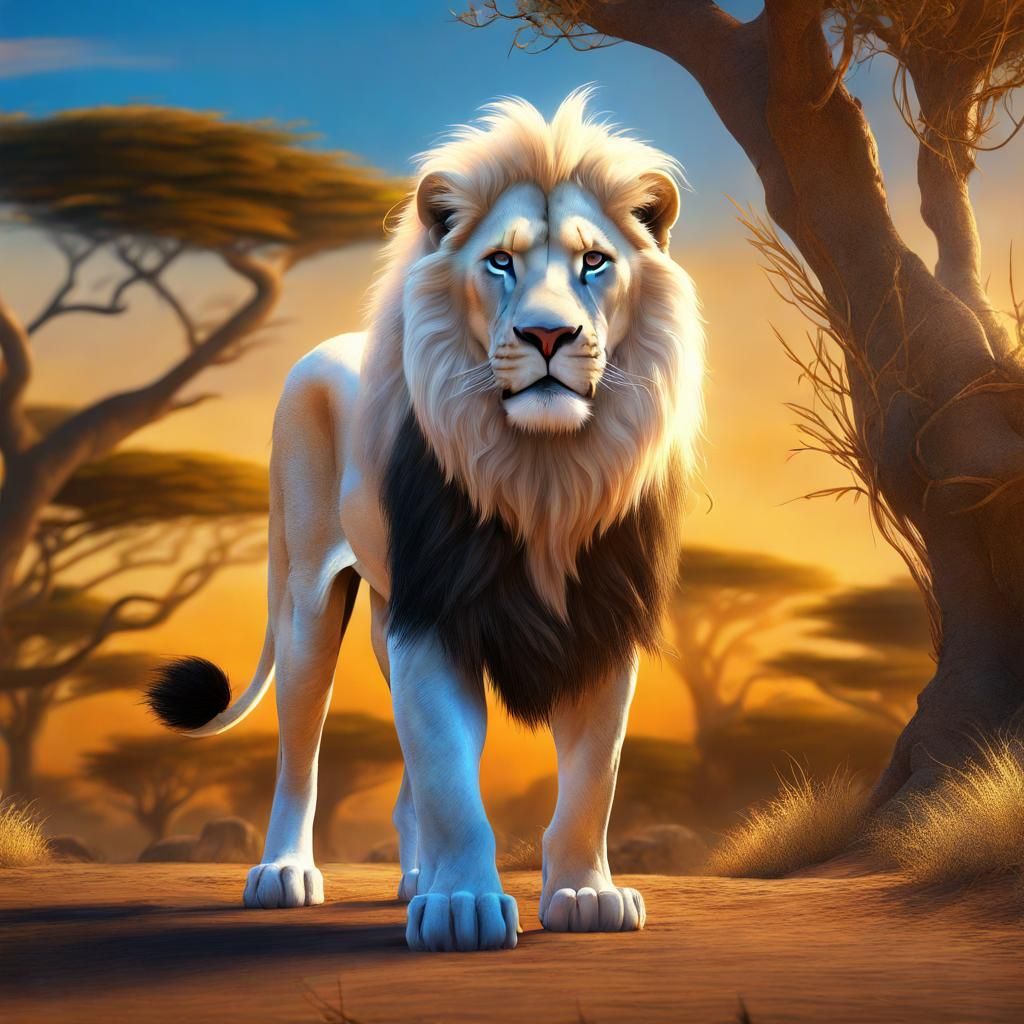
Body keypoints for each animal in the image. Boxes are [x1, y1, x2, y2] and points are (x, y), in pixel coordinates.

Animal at [147, 91, 705, 953]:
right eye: (500, 261)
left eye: (594, 262)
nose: (550, 335)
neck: (542, 474)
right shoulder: (436, 619)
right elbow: (450, 776)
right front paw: (464, 905)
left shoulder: (602, 618)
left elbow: (590, 780)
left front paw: (585, 892)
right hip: (310, 601)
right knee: (300, 751)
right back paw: (285, 874)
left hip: (387, 615)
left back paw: (417, 874)